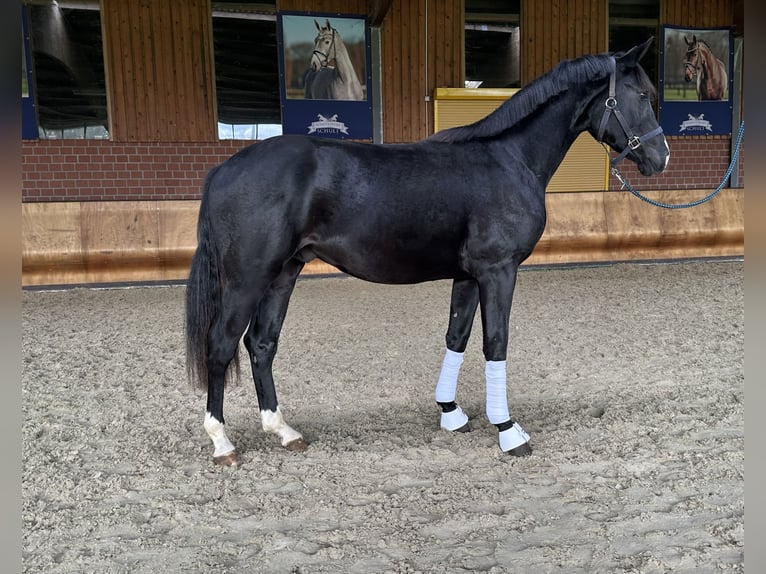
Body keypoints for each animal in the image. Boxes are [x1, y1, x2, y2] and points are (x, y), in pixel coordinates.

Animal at [186, 38, 669, 466]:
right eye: (641, 94)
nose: (660, 157)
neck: (509, 159)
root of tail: (224, 169)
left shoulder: (469, 275)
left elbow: (457, 336)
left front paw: (451, 413)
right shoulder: (498, 271)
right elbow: (496, 342)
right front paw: (508, 431)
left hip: (283, 273)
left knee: (261, 343)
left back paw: (283, 431)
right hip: (248, 277)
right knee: (221, 344)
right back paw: (222, 442)